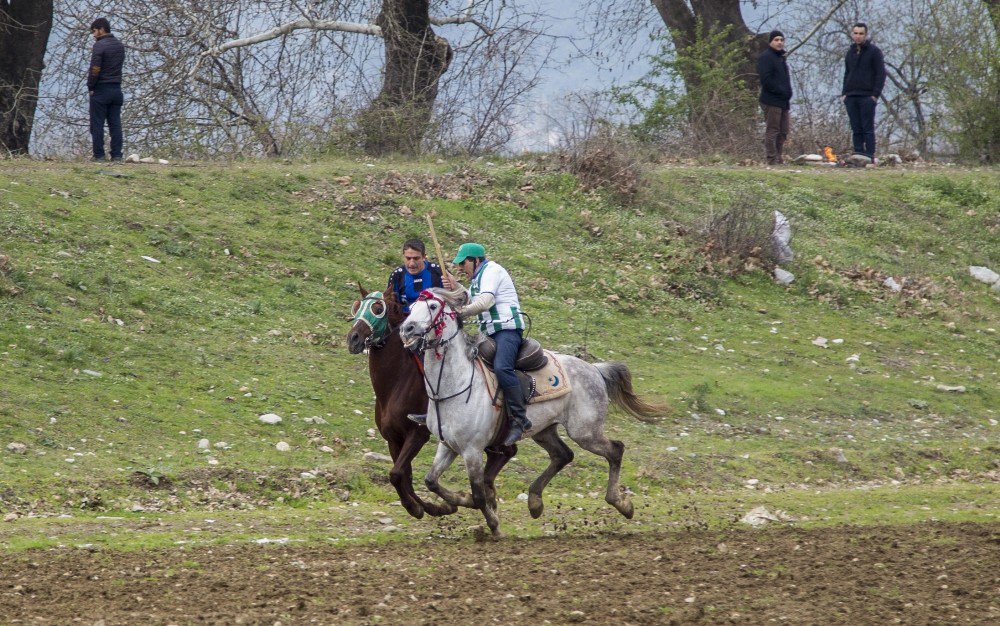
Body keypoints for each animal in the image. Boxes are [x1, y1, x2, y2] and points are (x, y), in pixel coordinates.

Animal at [346, 284, 516, 516]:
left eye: (378, 308)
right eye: (357, 307)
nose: (353, 338)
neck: (397, 383)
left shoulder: (417, 434)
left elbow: (397, 474)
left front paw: (431, 507)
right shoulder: (393, 439)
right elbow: (403, 476)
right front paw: (425, 506)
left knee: (507, 451)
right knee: (503, 454)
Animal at [398, 288, 664, 536]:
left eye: (433, 306)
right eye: (411, 307)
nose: (406, 329)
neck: (454, 386)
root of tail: (595, 369)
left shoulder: (472, 450)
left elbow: (479, 494)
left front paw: (493, 523)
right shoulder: (448, 445)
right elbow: (431, 481)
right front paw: (454, 503)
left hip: (585, 432)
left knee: (615, 450)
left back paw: (621, 503)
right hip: (544, 430)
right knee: (563, 455)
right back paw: (535, 502)